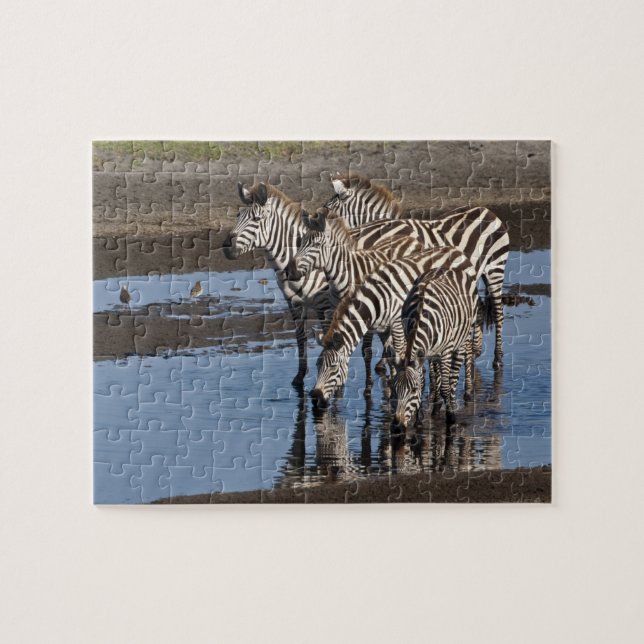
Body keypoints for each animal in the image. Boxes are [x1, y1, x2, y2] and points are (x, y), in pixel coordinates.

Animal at [311, 248, 475, 406]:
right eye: (317, 365)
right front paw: (381, 388)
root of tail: (457, 251)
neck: (376, 301)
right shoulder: (379, 328)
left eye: (333, 367)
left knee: (468, 349)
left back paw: (468, 390)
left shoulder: (396, 324)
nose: (315, 396)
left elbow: (398, 351)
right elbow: (377, 354)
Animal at [323, 176, 509, 369]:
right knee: (479, 307)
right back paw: (476, 350)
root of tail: (486, 210)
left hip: (495, 267)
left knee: (498, 312)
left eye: (328, 210)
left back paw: (497, 358)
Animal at [390, 266, 479, 429]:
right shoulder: (420, 350)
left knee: (453, 377)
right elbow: (423, 381)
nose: (397, 426)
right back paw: (436, 406)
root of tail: (448, 268)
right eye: (394, 388)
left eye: (413, 390)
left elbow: (445, 387)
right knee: (436, 373)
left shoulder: (446, 351)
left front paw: (451, 417)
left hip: (463, 337)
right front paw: (418, 420)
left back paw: (453, 403)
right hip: (433, 352)